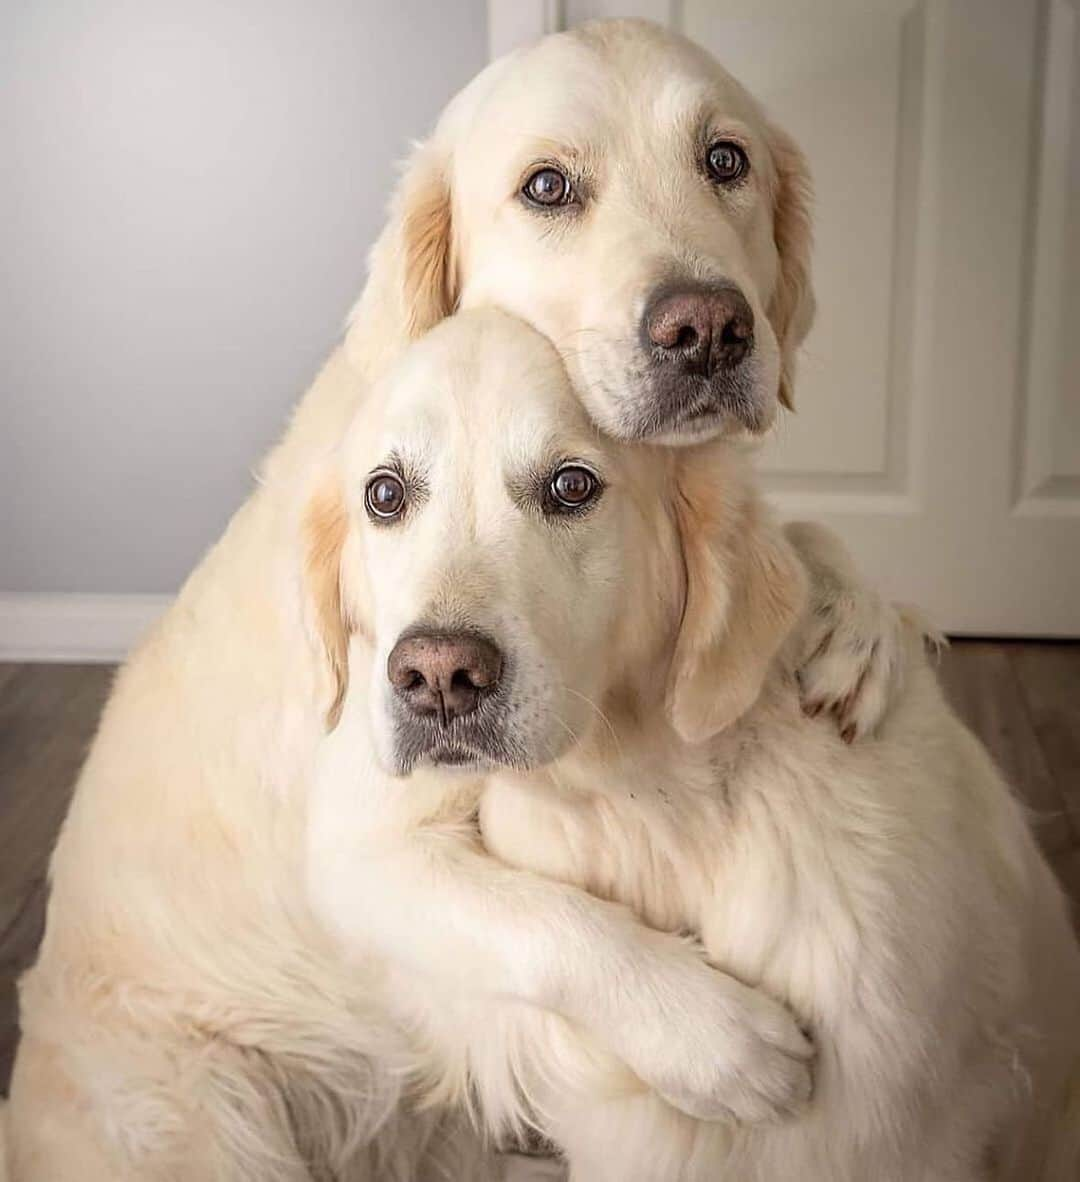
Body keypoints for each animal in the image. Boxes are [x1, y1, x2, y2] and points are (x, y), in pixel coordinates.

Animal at [2, 18, 1077, 1182]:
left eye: (726, 160)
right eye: (548, 187)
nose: (710, 328)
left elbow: (798, 545)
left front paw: (856, 618)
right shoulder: (365, 849)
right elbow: (546, 926)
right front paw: (717, 1041)